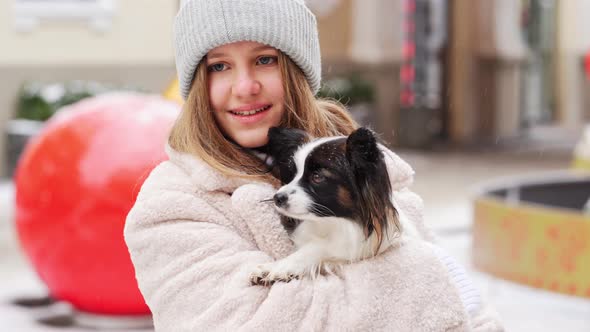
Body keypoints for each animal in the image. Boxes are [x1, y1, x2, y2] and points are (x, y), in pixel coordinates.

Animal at [250, 127, 420, 286]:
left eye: (317, 177)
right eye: (293, 175)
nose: (277, 198)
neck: (332, 222)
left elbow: (318, 247)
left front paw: (280, 267)